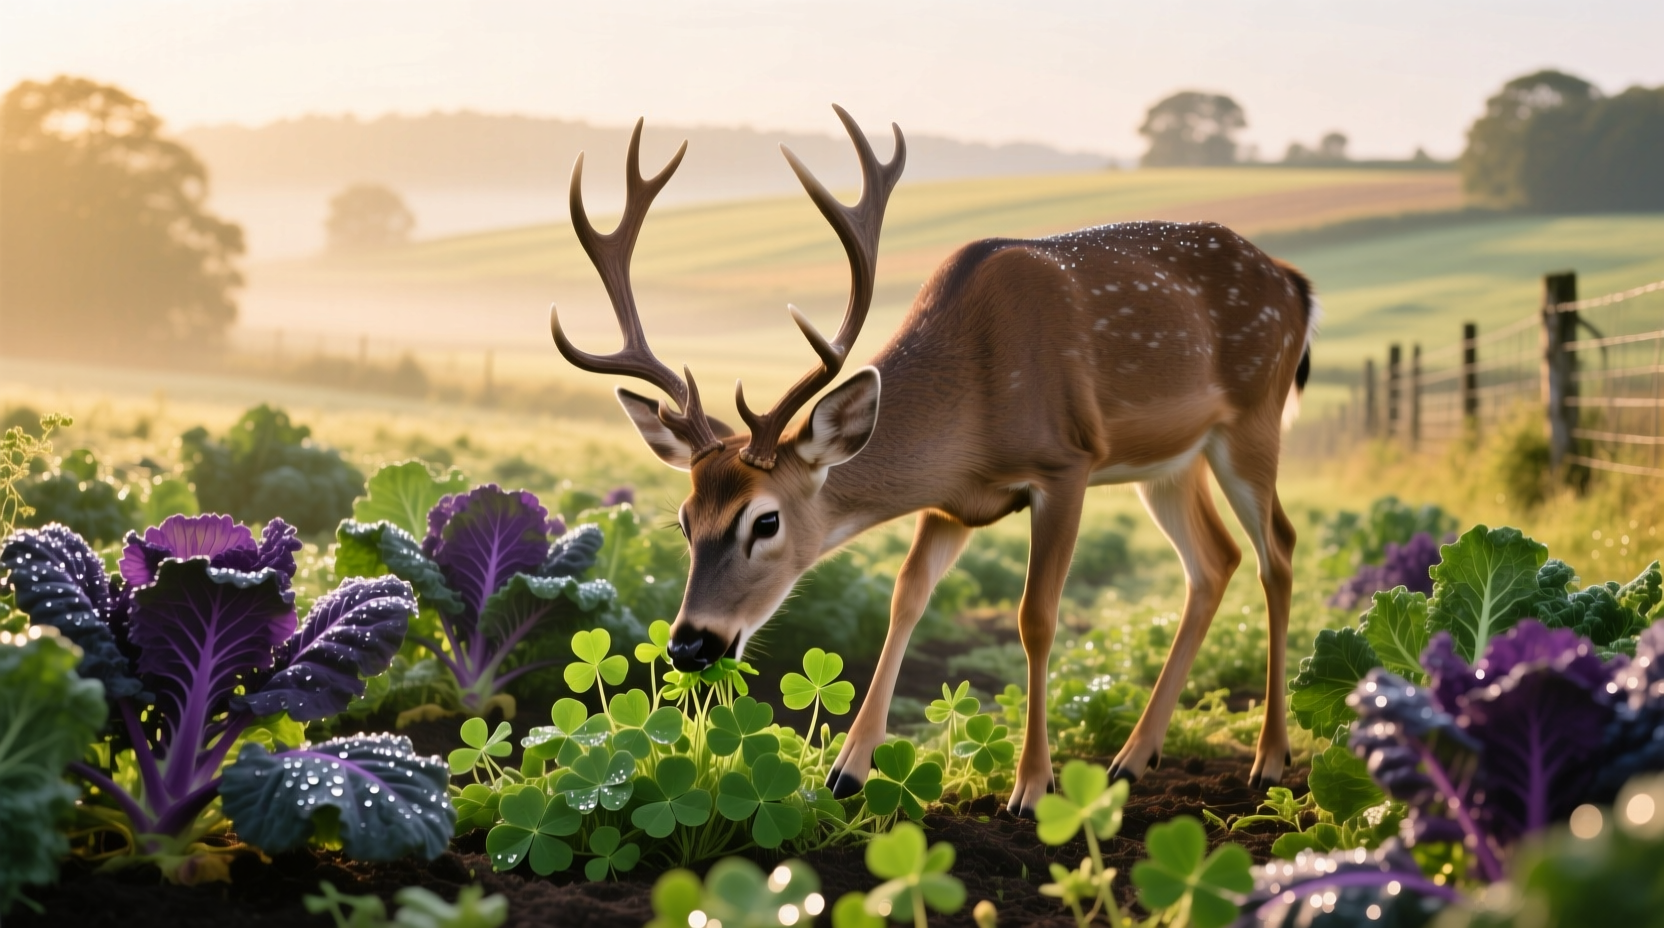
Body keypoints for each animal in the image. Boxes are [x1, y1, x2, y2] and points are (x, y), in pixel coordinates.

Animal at [548, 106, 1318, 815]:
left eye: (764, 521)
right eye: (684, 520)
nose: (690, 645)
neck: (974, 401)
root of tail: (1295, 285)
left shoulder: (1066, 464)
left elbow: (1036, 617)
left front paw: (1031, 788)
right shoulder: (951, 501)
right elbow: (907, 596)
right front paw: (847, 770)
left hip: (1252, 417)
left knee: (1278, 547)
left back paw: (1269, 759)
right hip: (1169, 463)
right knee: (1214, 561)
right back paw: (1134, 757)